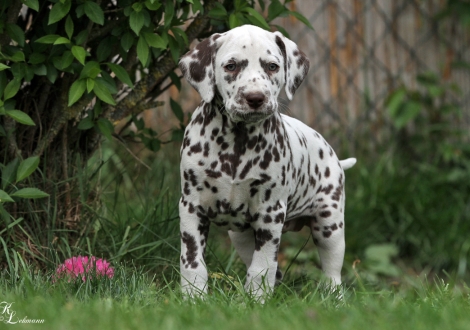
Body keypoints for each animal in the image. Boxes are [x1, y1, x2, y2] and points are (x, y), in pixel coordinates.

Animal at [178, 25, 354, 300]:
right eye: (231, 66)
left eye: (272, 66)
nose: (255, 98)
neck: (236, 145)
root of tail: (334, 158)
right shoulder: (191, 208)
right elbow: (192, 262)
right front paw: (194, 296)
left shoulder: (270, 214)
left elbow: (262, 265)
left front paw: (256, 299)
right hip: (241, 237)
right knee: (275, 270)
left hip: (329, 225)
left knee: (332, 272)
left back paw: (332, 297)